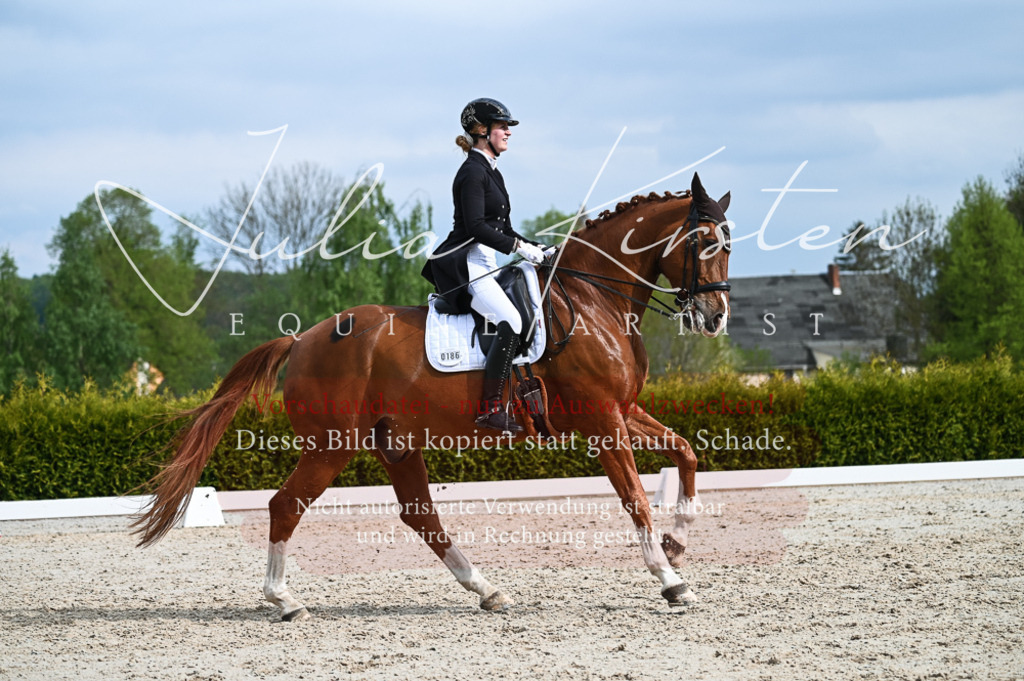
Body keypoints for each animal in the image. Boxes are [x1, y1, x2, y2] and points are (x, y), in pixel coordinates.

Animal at [134, 172, 732, 621]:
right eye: (703, 243)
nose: (715, 317)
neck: (593, 299)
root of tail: (302, 339)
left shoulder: (623, 411)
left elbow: (685, 452)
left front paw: (679, 544)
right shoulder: (603, 419)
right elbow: (635, 499)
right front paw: (671, 579)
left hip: (395, 443)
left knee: (420, 515)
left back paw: (486, 589)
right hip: (332, 444)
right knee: (287, 505)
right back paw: (285, 601)